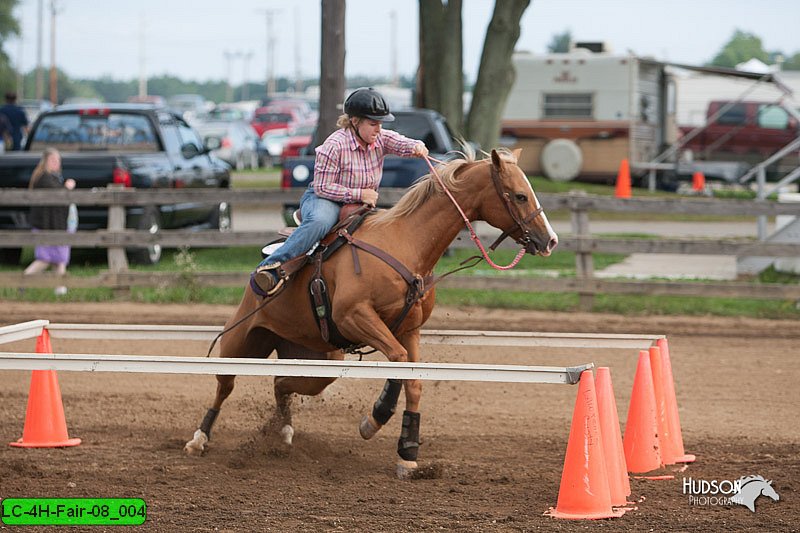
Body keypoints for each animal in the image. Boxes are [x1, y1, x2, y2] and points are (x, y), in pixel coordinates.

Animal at [184, 148, 560, 476]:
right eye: (519, 195)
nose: (550, 241)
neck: (406, 245)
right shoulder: (356, 317)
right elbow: (397, 361)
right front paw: (373, 419)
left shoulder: (409, 330)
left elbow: (413, 381)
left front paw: (408, 452)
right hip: (241, 341)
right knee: (225, 385)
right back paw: (199, 439)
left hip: (317, 360)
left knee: (281, 383)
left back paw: (284, 432)